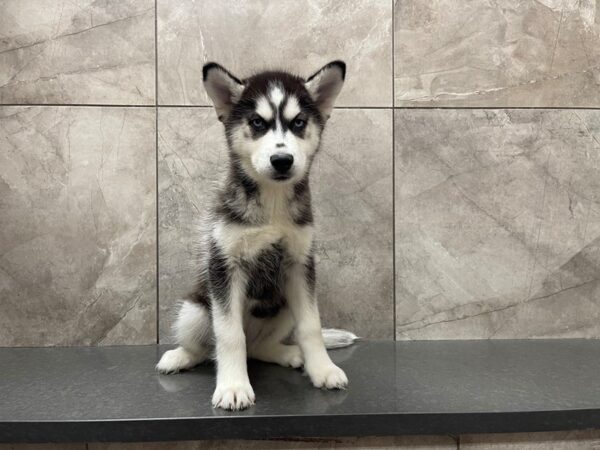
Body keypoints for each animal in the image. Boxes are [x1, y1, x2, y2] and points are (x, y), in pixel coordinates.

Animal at [157, 60, 358, 412]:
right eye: (257, 123)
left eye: (298, 122)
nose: (282, 160)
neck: (273, 203)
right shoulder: (224, 266)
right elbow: (229, 335)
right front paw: (233, 386)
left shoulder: (299, 266)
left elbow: (311, 326)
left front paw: (323, 369)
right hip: (195, 309)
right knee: (207, 347)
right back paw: (179, 357)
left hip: (283, 306)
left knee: (258, 348)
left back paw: (290, 353)